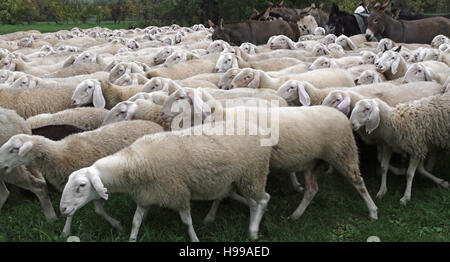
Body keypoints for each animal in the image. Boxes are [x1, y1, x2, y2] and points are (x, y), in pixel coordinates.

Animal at [0, 119, 163, 236]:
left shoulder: (90, 185)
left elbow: (97, 210)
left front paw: (117, 225)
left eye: (14, 149)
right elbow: (73, 210)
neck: (60, 154)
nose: (0, 163)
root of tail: (155, 124)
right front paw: (65, 232)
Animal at [59, 122, 270, 243]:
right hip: (236, 179)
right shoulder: (146, 196)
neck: (136, 162)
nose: (62, 209)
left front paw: (195, 239)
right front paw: (132, 239)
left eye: (81, 186)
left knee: (264, 199)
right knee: (250, 202)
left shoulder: (178, 194)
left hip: (253, 174)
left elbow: (187, 222)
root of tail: (259, 129)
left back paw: (253, 231)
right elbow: (136, 222)